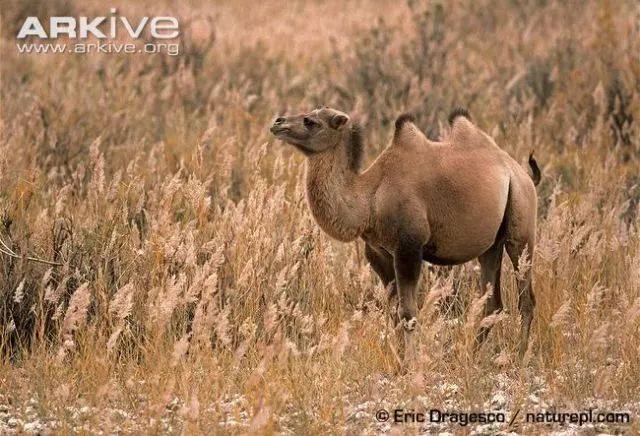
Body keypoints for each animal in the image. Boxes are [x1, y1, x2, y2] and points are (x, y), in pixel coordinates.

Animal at [268, 105, 540, 358]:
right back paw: (473, 354)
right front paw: (398, 359)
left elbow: (408, 313)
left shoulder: (408, 248)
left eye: (311, 121)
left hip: (522, 225)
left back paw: (520, 354)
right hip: (491, 244)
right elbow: (393, 312)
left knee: (525, 295)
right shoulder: (378, 252)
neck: (370, 198)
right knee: (491, 300)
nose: (278, 122)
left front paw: (410, 363)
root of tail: (520, 172)